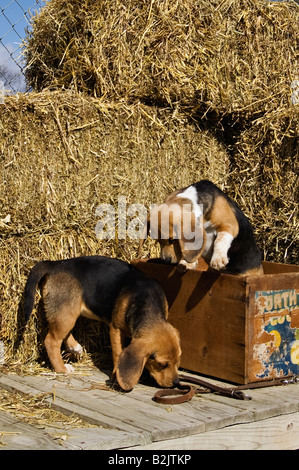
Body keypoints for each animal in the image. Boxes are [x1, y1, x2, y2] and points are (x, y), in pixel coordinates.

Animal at [23, 255, 180, 392]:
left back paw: (75, 347)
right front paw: (116, 376)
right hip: (66, 312)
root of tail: (56, 263)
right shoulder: (116, 329)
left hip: (68, 313)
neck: (148, 304)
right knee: (52, 341)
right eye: (162, 364)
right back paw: (62, 368)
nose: (176, 383)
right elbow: (118, 353)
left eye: (178, 360)